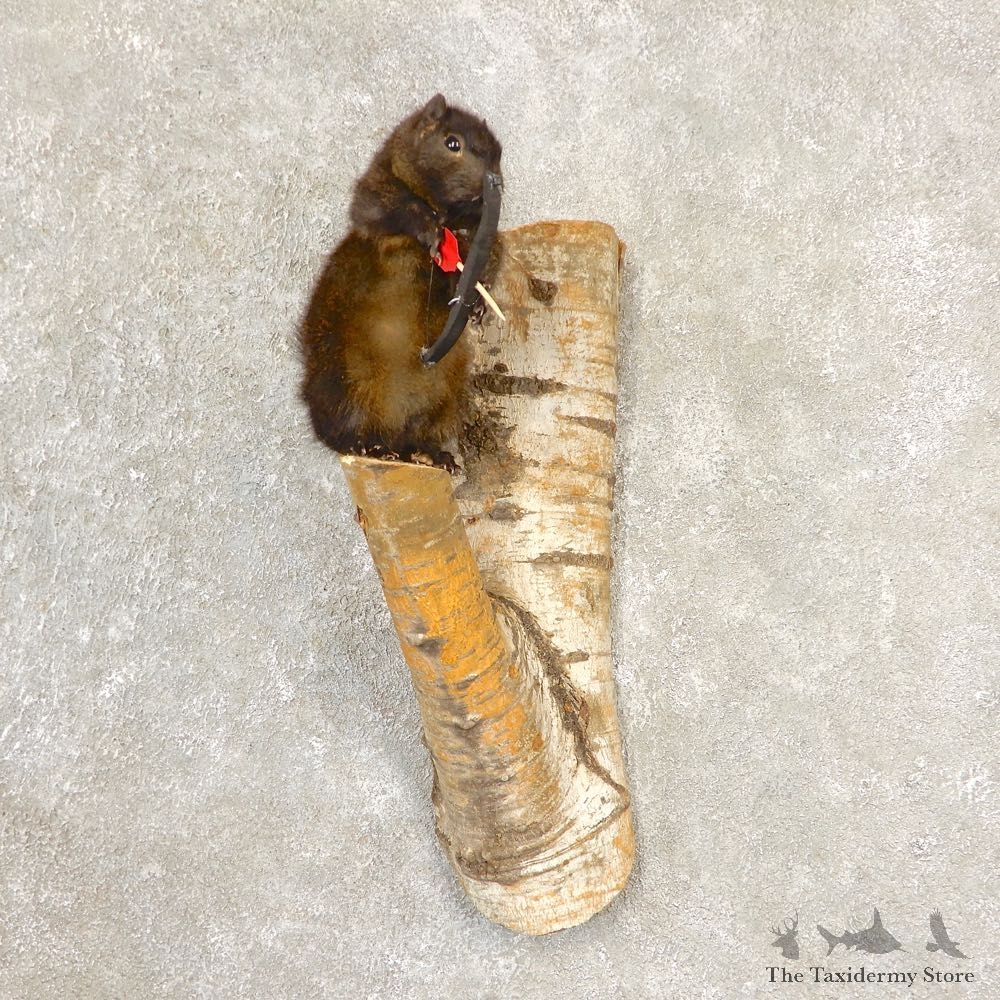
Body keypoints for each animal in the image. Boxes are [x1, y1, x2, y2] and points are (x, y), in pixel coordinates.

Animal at [299, 94, 503, 472]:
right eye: (452, 143)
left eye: (500, 152)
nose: (492, 181)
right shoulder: (373, 196)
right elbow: (387, 206)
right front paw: (430, 230)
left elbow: (486, 261)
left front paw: (477, 303)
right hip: (344, 389)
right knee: (342, 436)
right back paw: (373, 448)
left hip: (443, 403)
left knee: (417, 440)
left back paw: (437, 458)